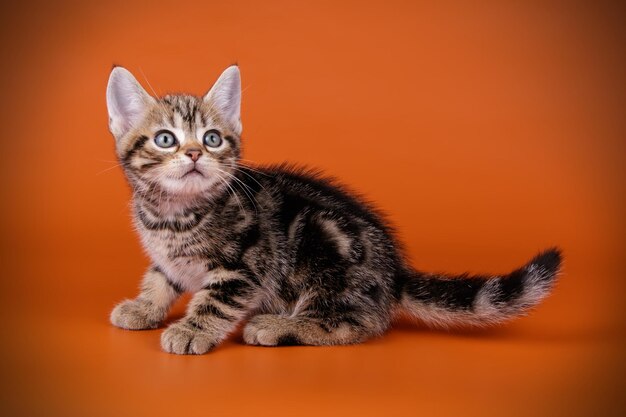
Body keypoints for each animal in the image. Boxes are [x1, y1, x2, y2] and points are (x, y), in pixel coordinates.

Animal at [106, 65, 560, 354]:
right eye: (166, 139)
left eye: (213, 138)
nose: (196, 152)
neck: (173, 215)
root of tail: (394, 274)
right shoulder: (168, 258)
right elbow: (160, 278)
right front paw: (144, 307)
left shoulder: (244, 267)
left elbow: (214, 301)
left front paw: (191, 329)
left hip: (322, 248)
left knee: (352, 324)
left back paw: (278, 326)